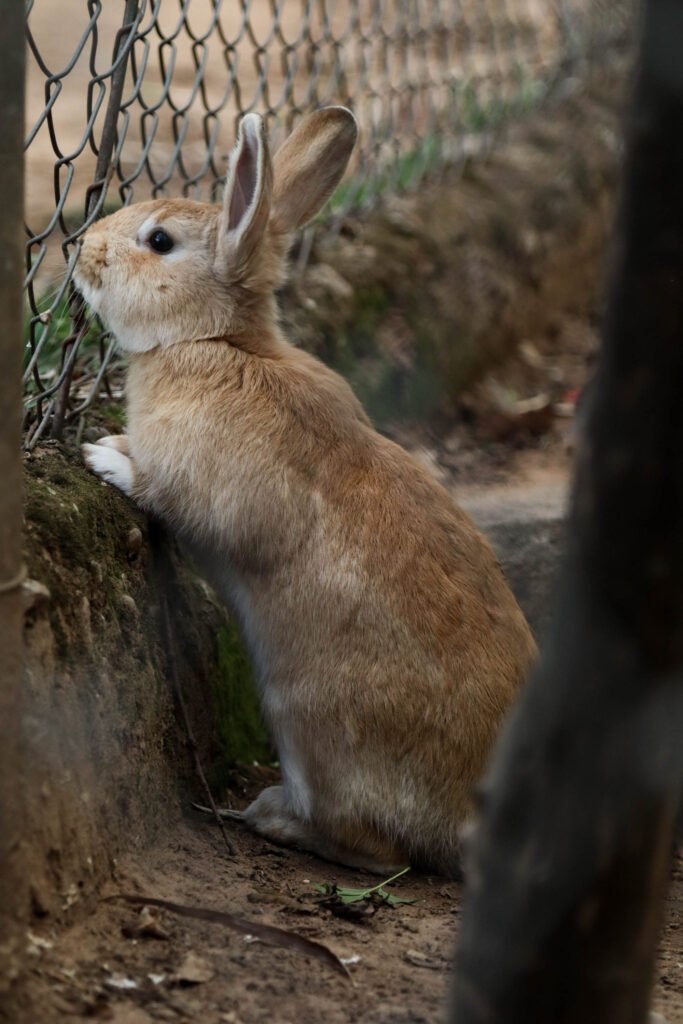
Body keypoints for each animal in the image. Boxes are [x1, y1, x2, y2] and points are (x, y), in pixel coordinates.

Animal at [78, 105, 540, 880]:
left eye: (159, 241)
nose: (82, 251)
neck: (216, 344)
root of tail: (463, 821)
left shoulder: (205, 482)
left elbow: (170, 492)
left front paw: (104, 455)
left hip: (310, 722)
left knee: (376, 849)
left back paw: (274, 817)